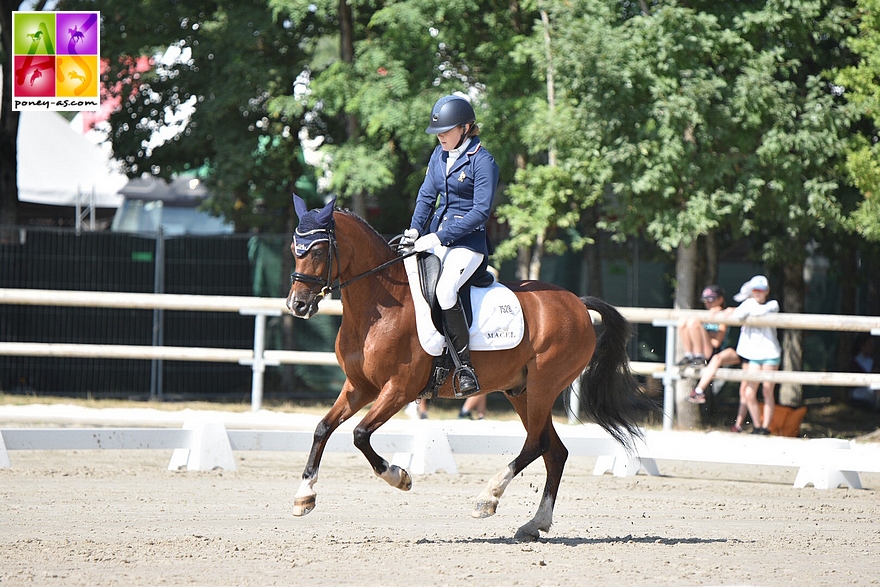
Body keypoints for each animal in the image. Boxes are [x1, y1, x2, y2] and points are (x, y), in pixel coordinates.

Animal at [286, 198, 648, 544]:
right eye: (294, 249)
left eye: (317, 250)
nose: (297, 305)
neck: (379, 305)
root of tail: (577, 303)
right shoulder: (360, 387)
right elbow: (322, 428)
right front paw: (304, 497)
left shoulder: (399, 389)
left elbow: (360, 434)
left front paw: (399, 477)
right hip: (521, 391)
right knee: (555, 451)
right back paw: (534, 524)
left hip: (543, 387)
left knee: (538, 443)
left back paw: (488, 498)